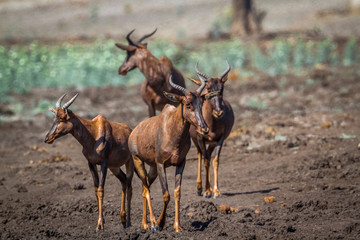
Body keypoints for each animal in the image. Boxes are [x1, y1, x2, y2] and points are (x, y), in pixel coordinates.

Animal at [43, 93, 134, 231]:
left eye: (62, 118)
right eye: (54, 118)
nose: (47, 138)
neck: (94, 133)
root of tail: (130, 130)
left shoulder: (104, 163)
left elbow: (101, 190)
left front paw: (99, 225)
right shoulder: (91, 163)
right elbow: (96, 190)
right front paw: (102, 222)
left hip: (131, 162)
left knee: (130, 186)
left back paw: (129, 223)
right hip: (115, 167)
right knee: (124, 181)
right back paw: (123, 220)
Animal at [126, 74, 217, 231]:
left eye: (202, 102)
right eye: (187, 104)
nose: (204, 129)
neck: (171, 130)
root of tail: (134, 131)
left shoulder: (180, 163)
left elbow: (177, 192)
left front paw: (177, 226)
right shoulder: (161, 164)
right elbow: (166, 194)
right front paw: (159, 224)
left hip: (153, 168)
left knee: (145, 187)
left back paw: (145, 224)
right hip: (139, 161)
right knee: (146, 188)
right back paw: (152, 224)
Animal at [190, 61, 235, 199]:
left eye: (222, 88)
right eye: (209, 89)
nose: (219, 112)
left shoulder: (220, 139)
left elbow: (215, 161)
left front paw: (216, 191)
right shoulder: (200, 138)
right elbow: (205, 161)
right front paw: (206, 192)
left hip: (211, 143)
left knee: (209, 156)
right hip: (197, 141)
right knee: (201, 156)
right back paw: (199, 188)